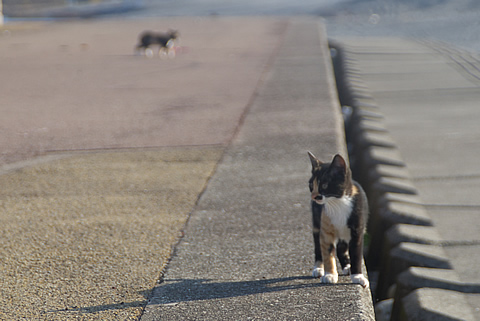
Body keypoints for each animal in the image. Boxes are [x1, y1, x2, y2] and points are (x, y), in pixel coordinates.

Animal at [310, 151, 370, 286]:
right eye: (311, 185)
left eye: (324, 185)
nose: (314, 196)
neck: (338, 203)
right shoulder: (325, 229)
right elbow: (327, 253)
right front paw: (330, 274)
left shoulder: (357, 231)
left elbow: (356, 254)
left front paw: (357, 276)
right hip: (316, 222)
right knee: (318, 246)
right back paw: (318, 268)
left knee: (342, 247)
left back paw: (347, 266)